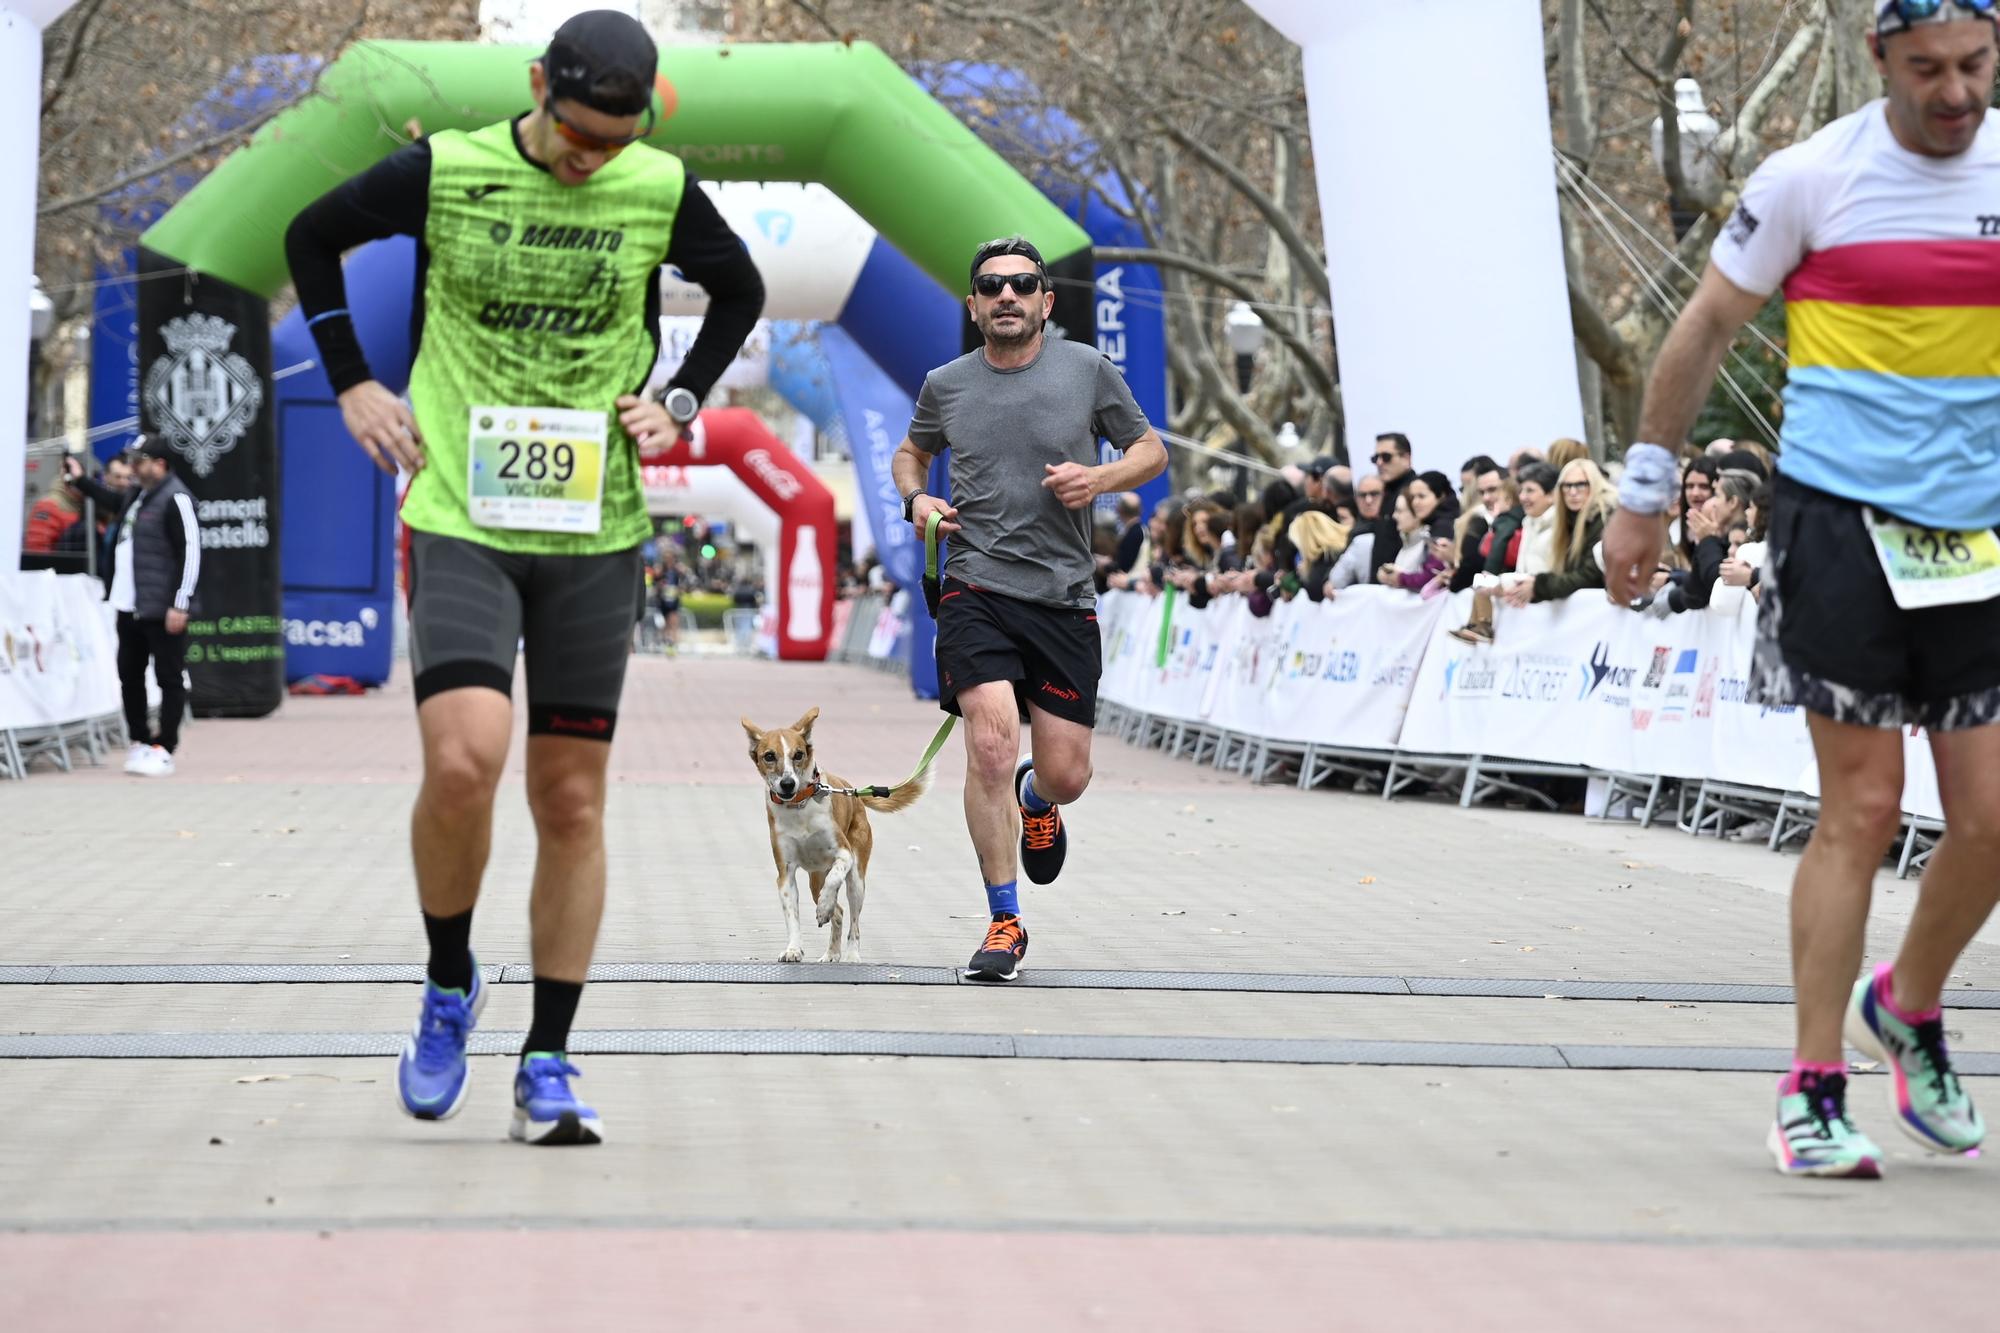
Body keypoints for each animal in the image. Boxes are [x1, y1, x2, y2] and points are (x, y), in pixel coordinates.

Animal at [744, 712, 928, 960]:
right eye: (769, 756)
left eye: (798, 754)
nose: (787, 784)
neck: (799, 806)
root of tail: (853, 792)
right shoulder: (785, 873)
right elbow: (792, 915)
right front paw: (793, 949)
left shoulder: (844, 854)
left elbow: (834, 880)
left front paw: (823, 908)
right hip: (815, 880)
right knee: (839, 912)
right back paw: (832, 953)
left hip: (856, 880)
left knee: (854, 920)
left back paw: (851, 955)